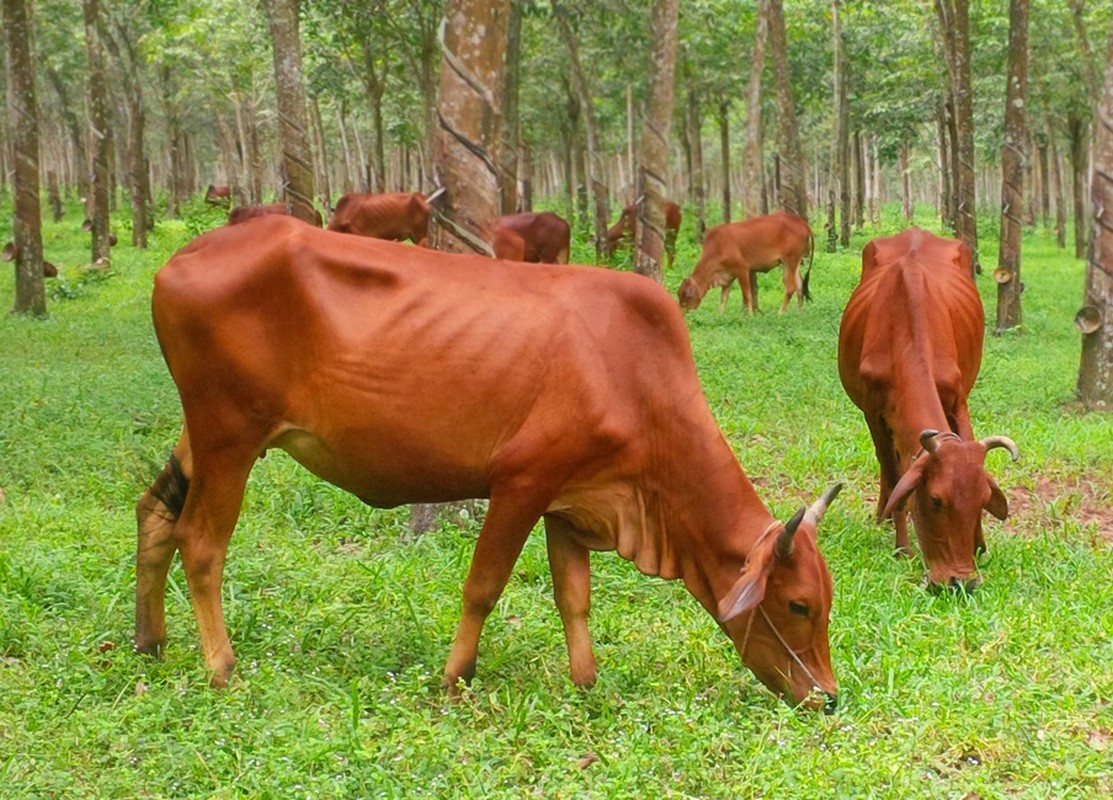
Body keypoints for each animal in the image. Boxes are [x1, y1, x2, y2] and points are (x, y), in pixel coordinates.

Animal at [672, 212, 814, 315]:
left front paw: (750, 315)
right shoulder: (728, 277)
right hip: (794, 263)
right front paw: (720, 315)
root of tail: (802, 223)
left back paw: (780, 313)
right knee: (800, 285)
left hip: (789, 261)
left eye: (685, 296)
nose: (681, 314)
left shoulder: (743, 269)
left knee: (790, 287)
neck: (716, 248)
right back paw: (798, 312)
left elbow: (747, 295)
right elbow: (723, 298)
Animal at [836, 228, 1019, 591]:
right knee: (887, 464)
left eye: (981, 501)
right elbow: (895, 475)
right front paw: (902, 548)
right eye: (936, 500)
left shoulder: (957, 398)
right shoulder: (872, 411)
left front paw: (979, 545)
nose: (960, 581)